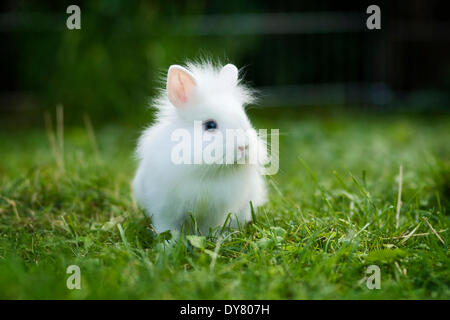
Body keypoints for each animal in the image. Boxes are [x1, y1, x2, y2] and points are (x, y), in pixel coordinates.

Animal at [133, 61, 268, 235]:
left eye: (245, 118)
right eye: (210, 125)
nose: (244, 146)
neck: (207, 172)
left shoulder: (217, 212)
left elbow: (210, 228)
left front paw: (214, 238)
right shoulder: (164, 209)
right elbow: (167, 228)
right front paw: (168, 242)